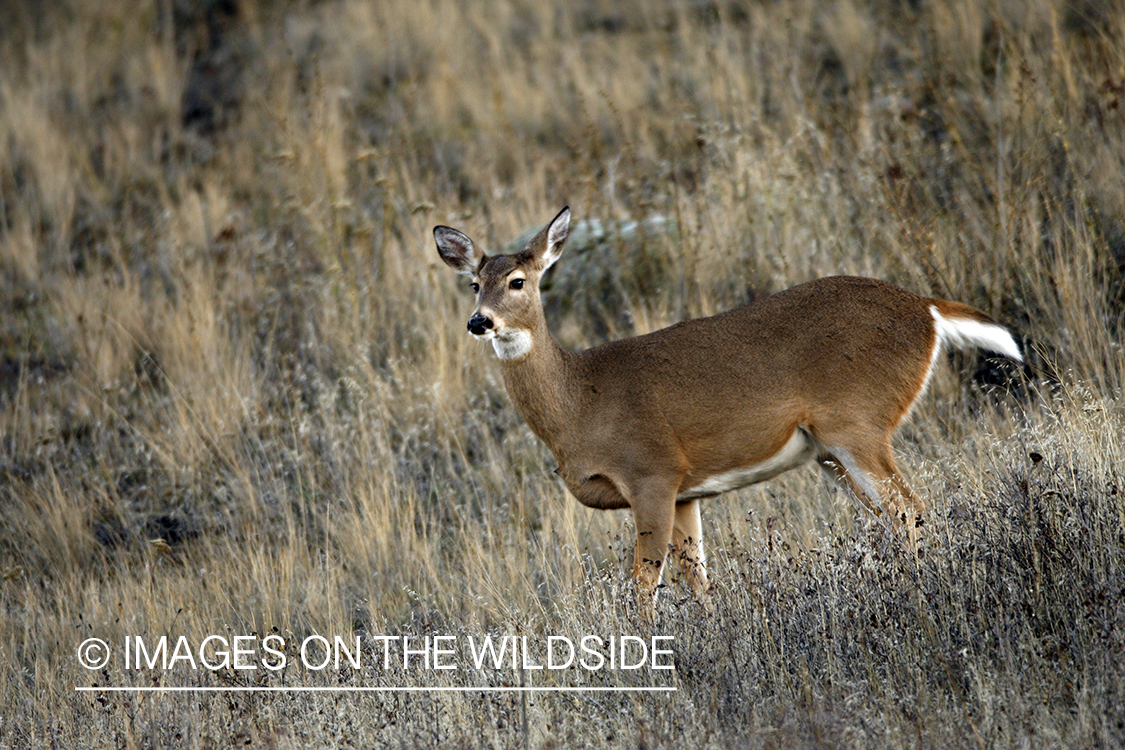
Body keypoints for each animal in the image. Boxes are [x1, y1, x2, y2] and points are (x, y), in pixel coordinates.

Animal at [432, 206, 1030, 620]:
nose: (480, 321)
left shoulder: (651, 472)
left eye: (519, 281)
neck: (580, 402)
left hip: (858, 421)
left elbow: (643, 588)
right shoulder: (686, 491)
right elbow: (698, 581)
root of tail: (926, 309)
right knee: (895, 515)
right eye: (473, 283)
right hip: (831, 452)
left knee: (909, 508)